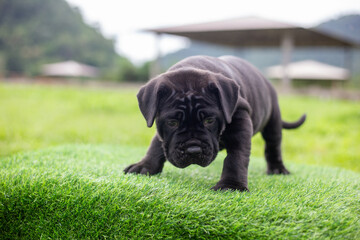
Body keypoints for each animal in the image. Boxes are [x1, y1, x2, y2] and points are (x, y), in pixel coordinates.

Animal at [123, 54, 304, 191]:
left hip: (273, 121)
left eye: (209, 120)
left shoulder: (241, 121)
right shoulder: (163, 133)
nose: (193, 150)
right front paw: (144, 166)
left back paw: (277, 169)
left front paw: (231, 185)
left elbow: (236, 157)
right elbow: (155, 145)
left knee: (273, 146)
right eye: (172, 123)